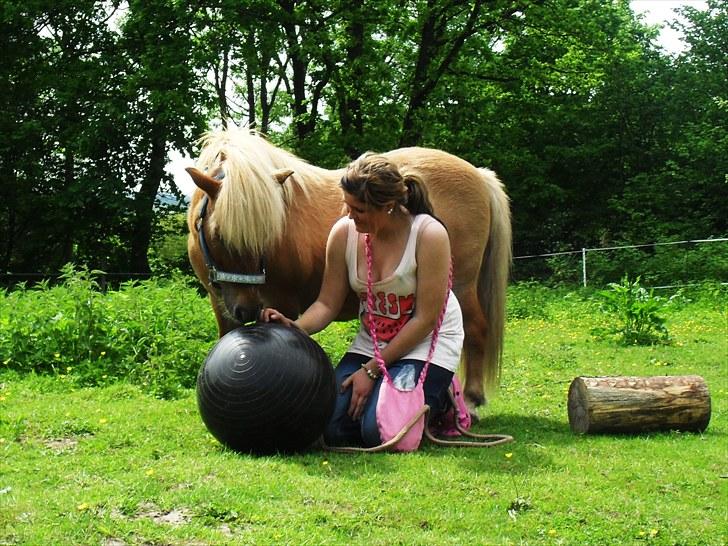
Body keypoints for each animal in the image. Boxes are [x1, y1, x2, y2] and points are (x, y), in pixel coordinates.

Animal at [185, 129, 510, 408]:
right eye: (218, 235)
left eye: (267, 234)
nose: (248, 310)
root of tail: (479, 176)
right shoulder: (221, 304)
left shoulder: (283, 301)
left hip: (460, 286)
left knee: (476, 329)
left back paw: (473, 399)